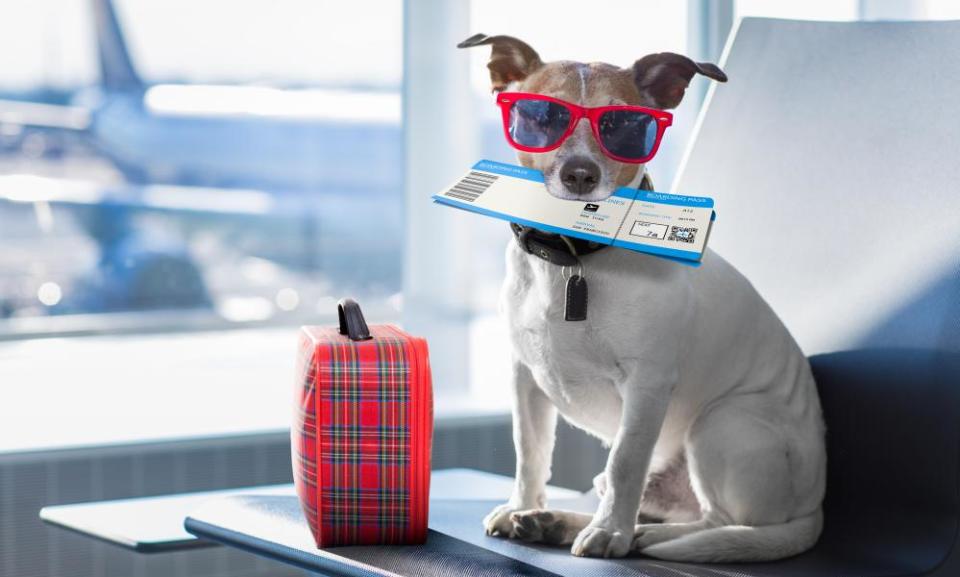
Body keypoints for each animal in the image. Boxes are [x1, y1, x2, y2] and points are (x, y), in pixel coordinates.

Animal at [458, 33, 824, 560]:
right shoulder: (524, 379)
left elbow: (626, 461)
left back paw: (639, 536)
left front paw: (610, 533)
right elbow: (530, 453)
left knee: (714, 522)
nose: (580, 174)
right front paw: (521, 505)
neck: (573, 258)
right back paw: (555, 521)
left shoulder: (646, 385)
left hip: (723, 422)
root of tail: (814, 508)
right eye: (542, 116)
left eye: (626, 124)